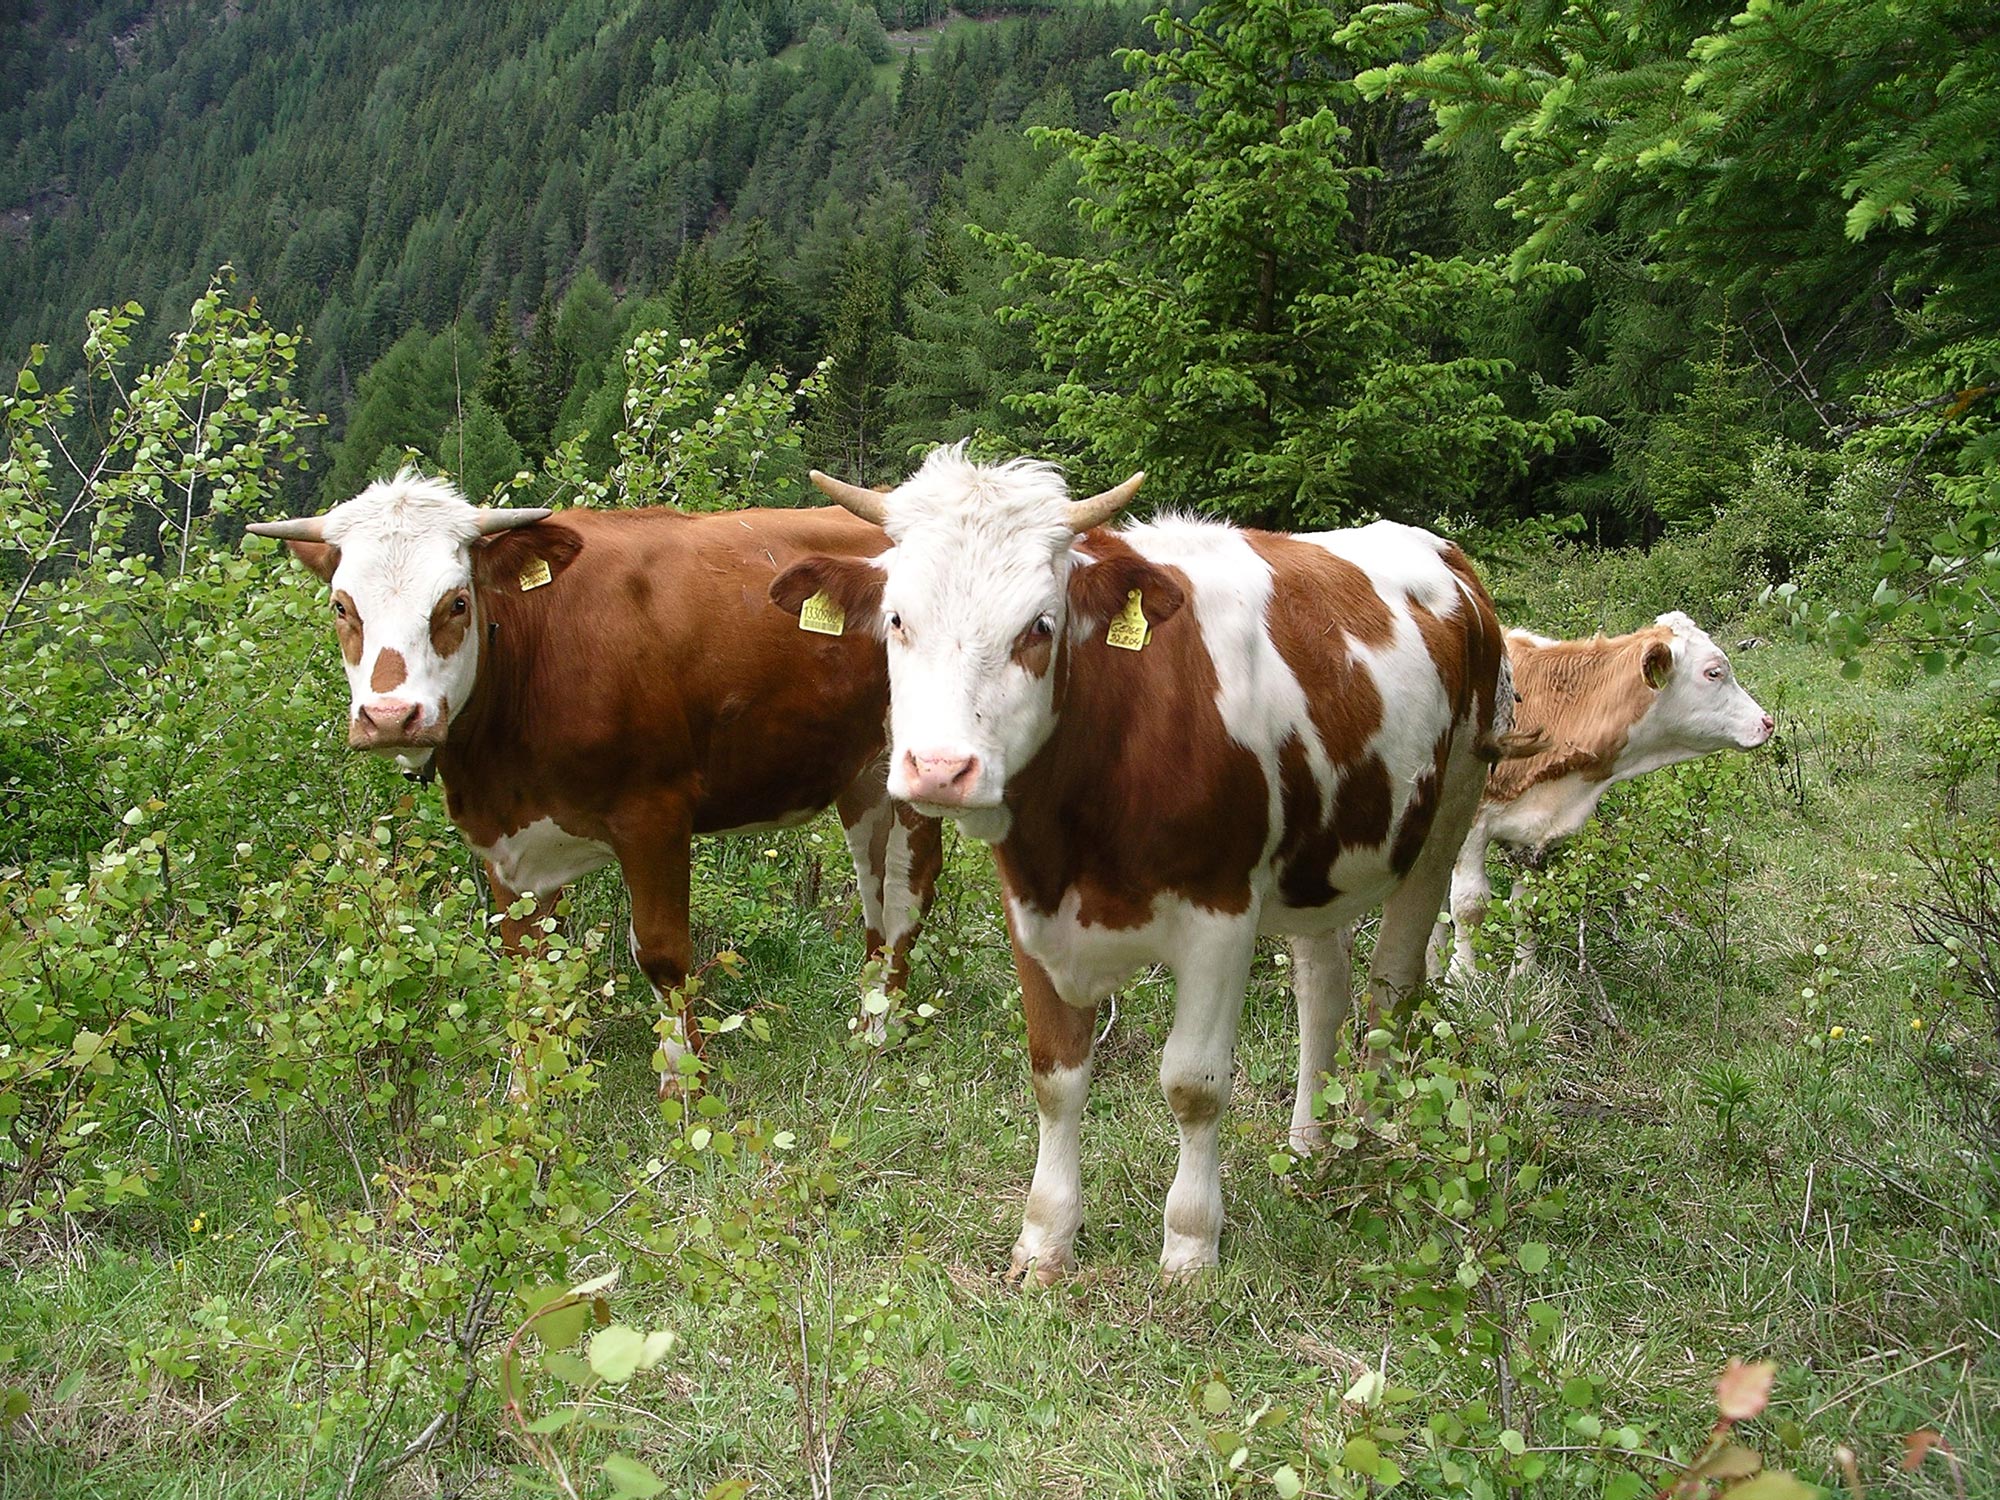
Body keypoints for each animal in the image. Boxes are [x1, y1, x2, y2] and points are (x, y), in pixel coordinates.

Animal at [246, 472, 940, 1080]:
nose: (391, 716)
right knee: (873, 896)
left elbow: (661, 953)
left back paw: (881, 1037)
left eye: (457, 602)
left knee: (905, 894)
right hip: (861, 776)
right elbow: (525, 968)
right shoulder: (505, 845)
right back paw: (866, 1020)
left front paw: (685, 1086)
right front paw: (527, 1099)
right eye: (341, 606)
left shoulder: (654, 813)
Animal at [768, 446, 1512, 1280]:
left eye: (1041, 624)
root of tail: (1442, 554)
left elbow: (1194, 1085)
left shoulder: (1221, 914)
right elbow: (1056, 1075)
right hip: (1321, 860)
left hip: (1450, 810)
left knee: (1391, 991)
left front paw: (1190, 1247)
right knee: (1324, 993)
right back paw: (1309, 1146)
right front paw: (1046, 1238)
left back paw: (1372, 1146)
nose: (939, 769)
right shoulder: (1031, 907)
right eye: (898, 619)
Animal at [1432, 616, 1776, 980]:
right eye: (1714, 672)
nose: (1767, 722)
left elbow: (1528, 908)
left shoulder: (1533, 835)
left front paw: (1522, 977)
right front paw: (1463, 979)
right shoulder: (1470, 825)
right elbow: (1469, 906)